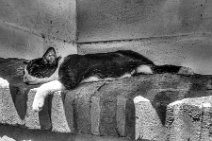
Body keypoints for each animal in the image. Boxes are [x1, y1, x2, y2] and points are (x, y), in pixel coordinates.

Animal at [24, 46, 191, 112]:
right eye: (24, 72)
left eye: (32, 70)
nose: (25, 80)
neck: (59, 64)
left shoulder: (69, 78)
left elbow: (44, 85)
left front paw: (37, 104)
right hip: (141, 68)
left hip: (147, 67)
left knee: (161, 68)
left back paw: (186, 69)